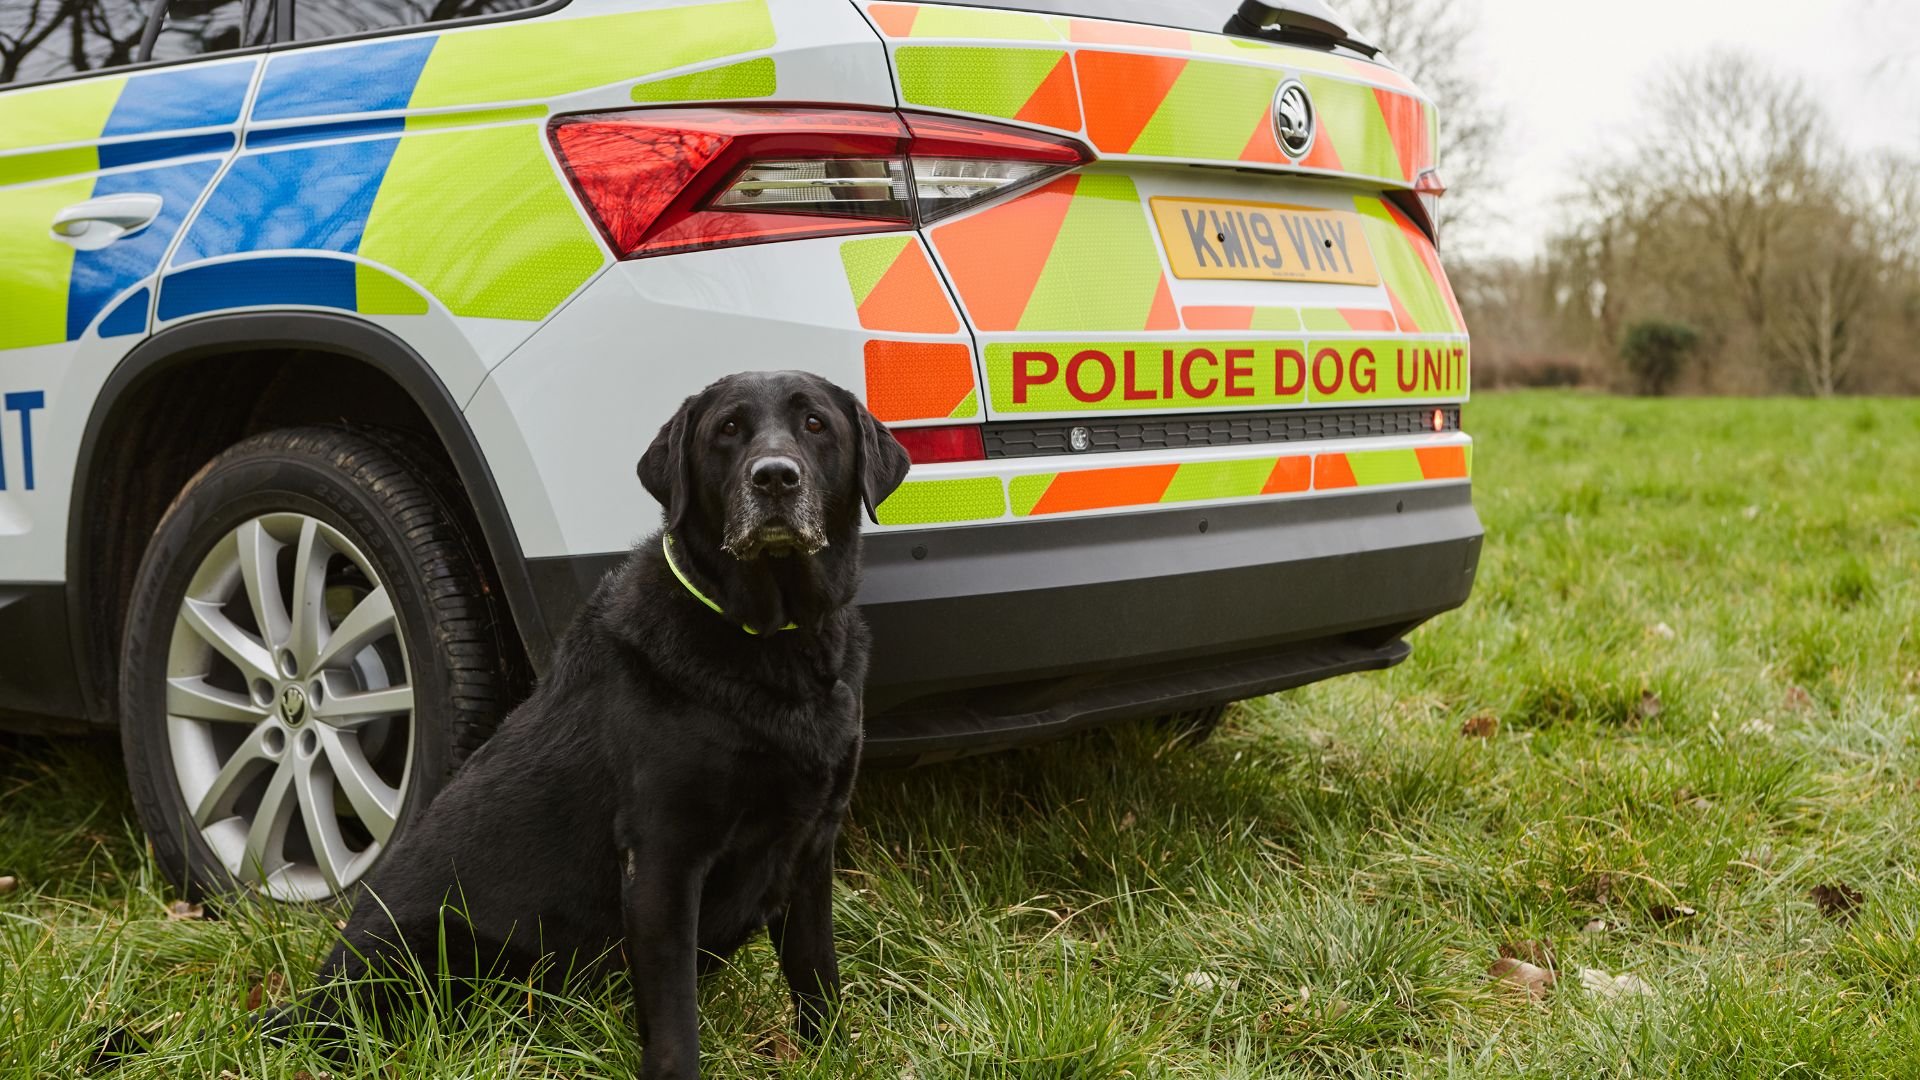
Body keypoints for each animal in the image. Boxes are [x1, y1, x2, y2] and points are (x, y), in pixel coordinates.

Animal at [270, 365, 913, 1068]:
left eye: (815, 424)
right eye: (728, 429)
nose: (774, 477)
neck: (772, 640)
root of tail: (307, 1004)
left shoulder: (811, 848)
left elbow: (816, 973)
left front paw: (832, 1053)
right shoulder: (662, 857)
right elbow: (674, 1017)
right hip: (437, 948)